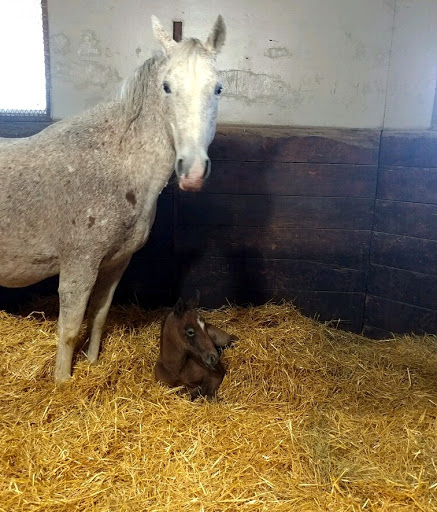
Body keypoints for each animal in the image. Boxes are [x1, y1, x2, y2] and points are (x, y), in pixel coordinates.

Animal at [0, 14, 225, 382]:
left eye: (218, 88)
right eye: (167, 87)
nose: (192, 171)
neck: (114, 166)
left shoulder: (116, 262)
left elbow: (99, 316)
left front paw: (92, 363)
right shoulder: (78, 265)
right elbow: (69, 329)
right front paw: (63, 383)